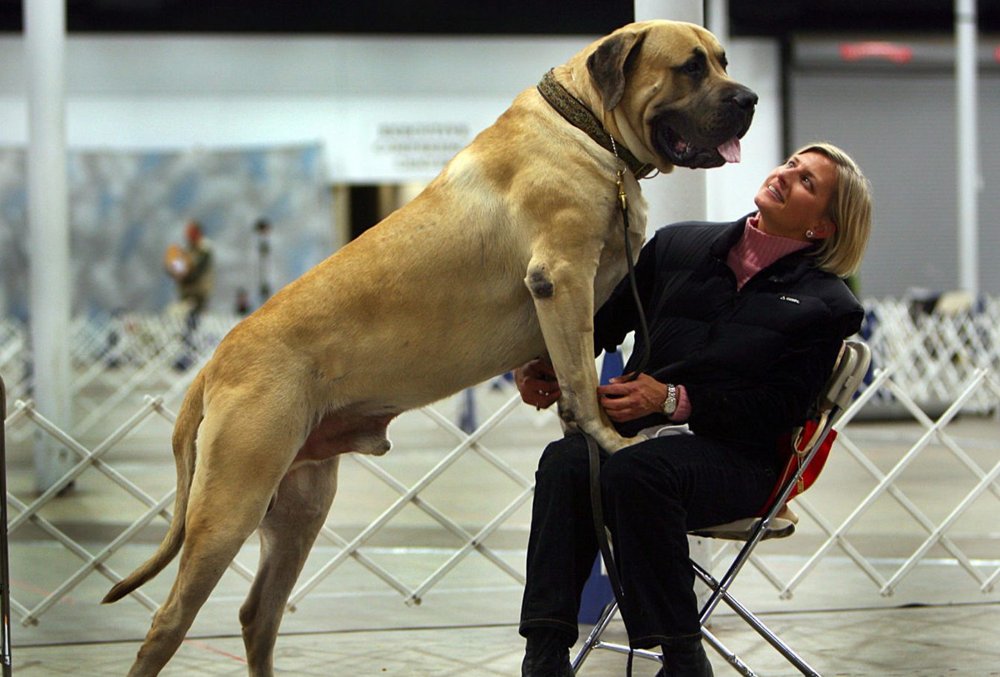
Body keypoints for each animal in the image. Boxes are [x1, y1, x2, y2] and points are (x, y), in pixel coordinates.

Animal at [105, 18, 752, 672]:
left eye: (724, 61)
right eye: (691, 67)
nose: (748, 99)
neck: (588, 127)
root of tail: (213, 364)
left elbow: (567, 377)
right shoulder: (563, 278)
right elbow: (580, 376)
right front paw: (609, 440)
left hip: (299, 508)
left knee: (258, 615)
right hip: (230, 503)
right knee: (169, 621)